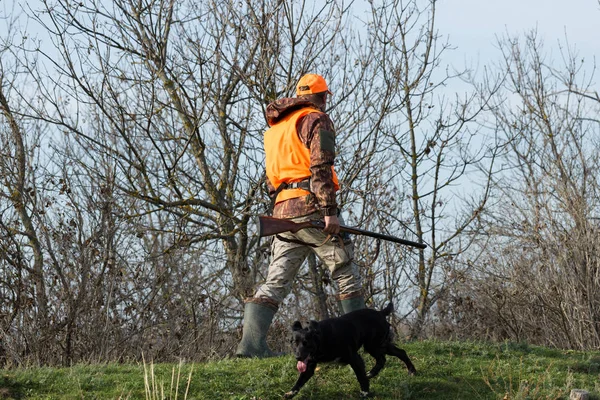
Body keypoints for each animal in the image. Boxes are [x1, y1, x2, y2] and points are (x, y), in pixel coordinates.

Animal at [286, 302, 418, 398]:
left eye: (306, 343)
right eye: (293, 343)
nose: (298, 357)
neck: (321, 338)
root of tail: (380, 313)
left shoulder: (354, 358)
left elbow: (361, 377)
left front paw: (365, 393)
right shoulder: (309, 366)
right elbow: (300, 381)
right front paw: (290, 393)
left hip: (374, 345)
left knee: (390, 356)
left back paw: (410, 371)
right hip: (377, 345)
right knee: (393, 355)